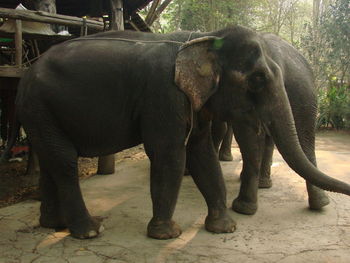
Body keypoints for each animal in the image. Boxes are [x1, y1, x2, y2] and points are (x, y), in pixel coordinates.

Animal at [4, 25, 350, 240]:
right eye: (258, 79)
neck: (204, 37)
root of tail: (26, 73)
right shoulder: (164, 94)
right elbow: (168, 153)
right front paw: (167, 235)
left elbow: (201, 152)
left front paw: (224, 228)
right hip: (39, 107)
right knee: (64, 162)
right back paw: (89, 231)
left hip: (41, 114)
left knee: (53, 159)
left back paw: (53, 224)